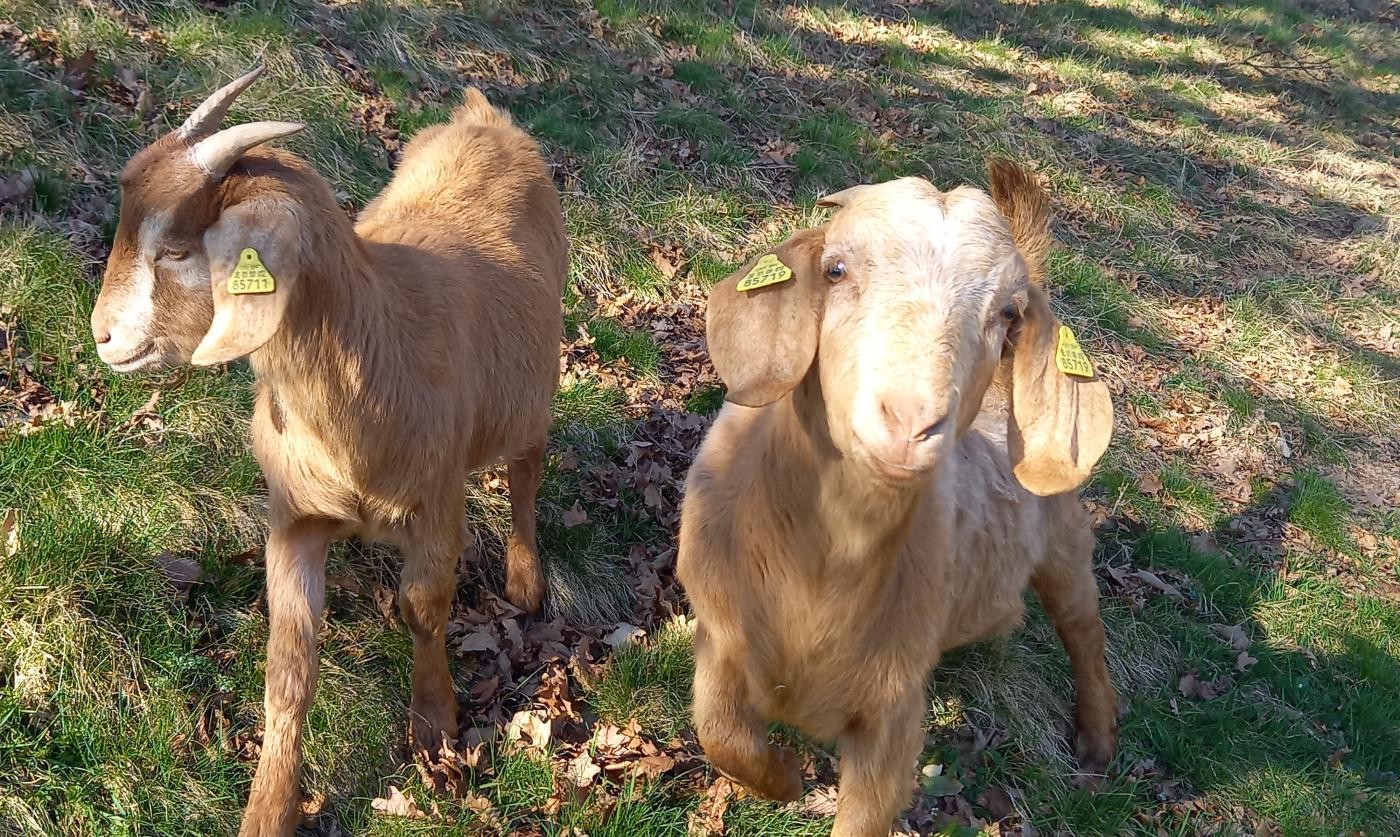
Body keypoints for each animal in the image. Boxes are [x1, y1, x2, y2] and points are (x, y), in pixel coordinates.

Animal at [90, 67, 567, 836]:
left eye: (176, 251)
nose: (103, 335)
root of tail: (483, 118)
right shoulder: (294, 520)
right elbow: (288, 667)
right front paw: (269, 807)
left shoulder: (437, 504)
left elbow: (424, 607)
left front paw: (434, 721)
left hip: (531, 388)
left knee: (526, 471)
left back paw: (526, 577)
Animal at [677, 160, 1117, 836]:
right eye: (835, 270)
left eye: (1007, 314)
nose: (910, 422)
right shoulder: (721, 635)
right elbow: (722, 737)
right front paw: (786, 777)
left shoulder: (894, 713)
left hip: (1066, 540)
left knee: (1083, 629)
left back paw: (1097, 744)